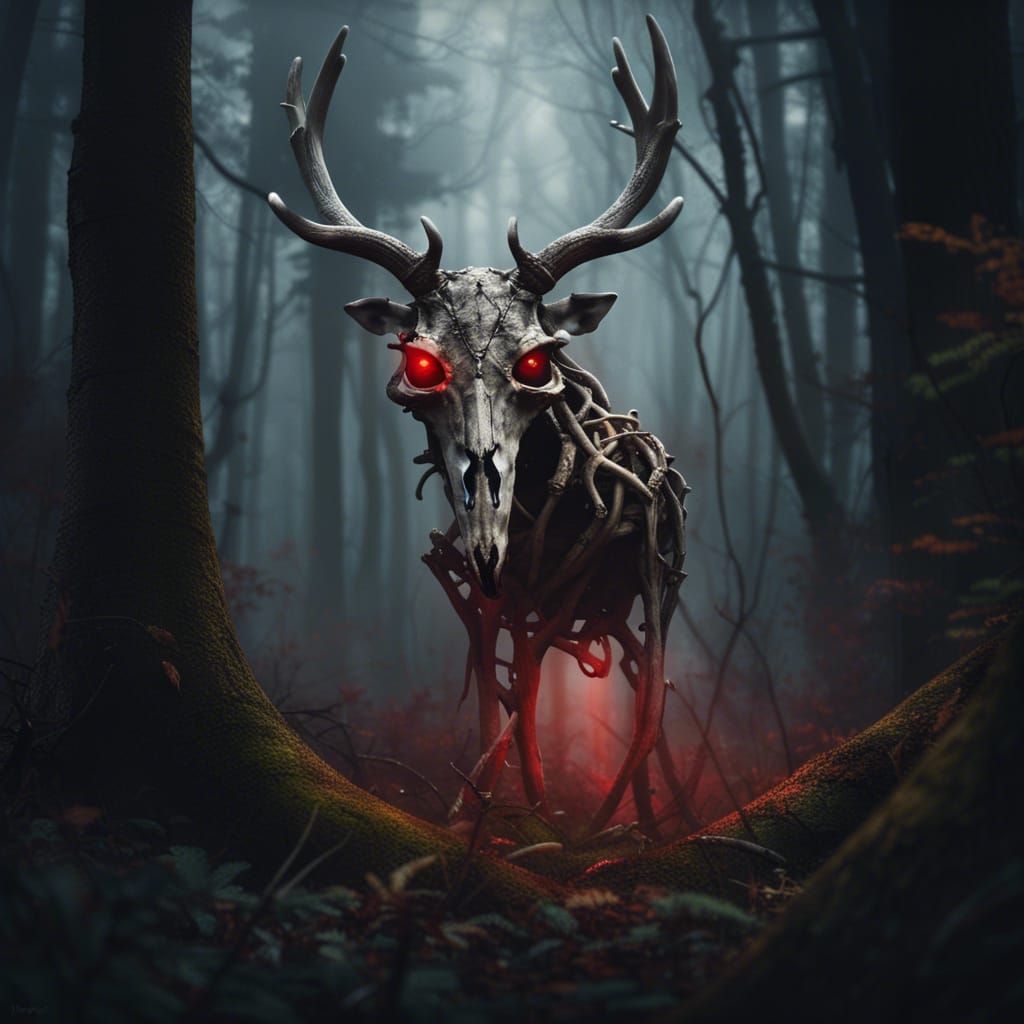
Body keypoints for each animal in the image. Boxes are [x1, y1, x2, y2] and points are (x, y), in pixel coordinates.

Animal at [269, 16, 690, 838]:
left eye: (536, 360)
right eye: (420, 365)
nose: (490, 536)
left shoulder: (632, 584)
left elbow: (642, 709)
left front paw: (611, 832)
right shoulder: (483, 597)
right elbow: (501, 697)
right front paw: (497, 817)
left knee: (636, 687)